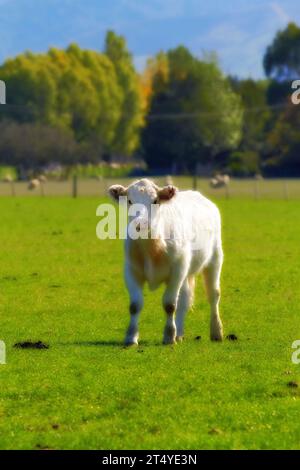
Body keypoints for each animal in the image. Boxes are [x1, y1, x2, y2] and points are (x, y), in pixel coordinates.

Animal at [109, 178, 224, 346]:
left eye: (155, 201)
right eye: (130, 201)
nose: (140, 224)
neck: (152, 249)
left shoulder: (177, 270)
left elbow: (169, 305)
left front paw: (169, 336)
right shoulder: (131, 271)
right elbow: (135, 305)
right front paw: (131, 337)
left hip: (214, 259)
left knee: (213, 295)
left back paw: (216, 332)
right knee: (184, 299)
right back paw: (180, 334)